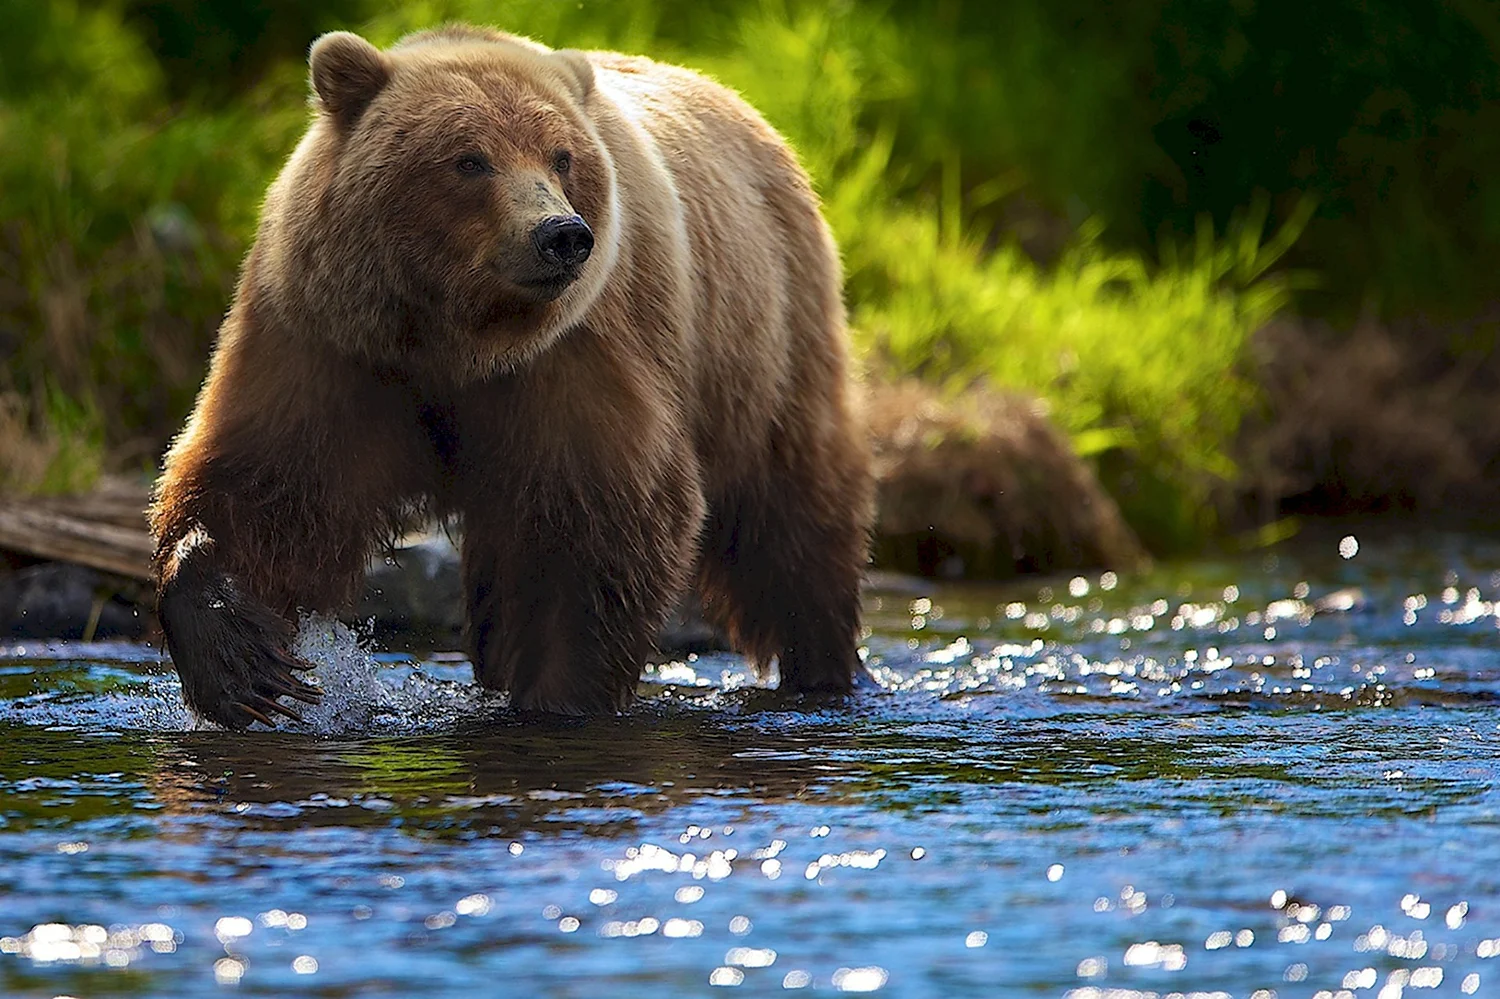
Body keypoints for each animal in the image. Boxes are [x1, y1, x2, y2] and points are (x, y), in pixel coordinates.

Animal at [146, 23, 876, 723]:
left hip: (767, 342)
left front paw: (558, 697)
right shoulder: (334, 341)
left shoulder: (570, 355)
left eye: (562, 156)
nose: (561, 234)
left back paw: (823, 668)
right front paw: (243, 659)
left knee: (793, 517)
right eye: (469, 159)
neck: (454, 339)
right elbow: (270, 483)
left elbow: (593, 528)